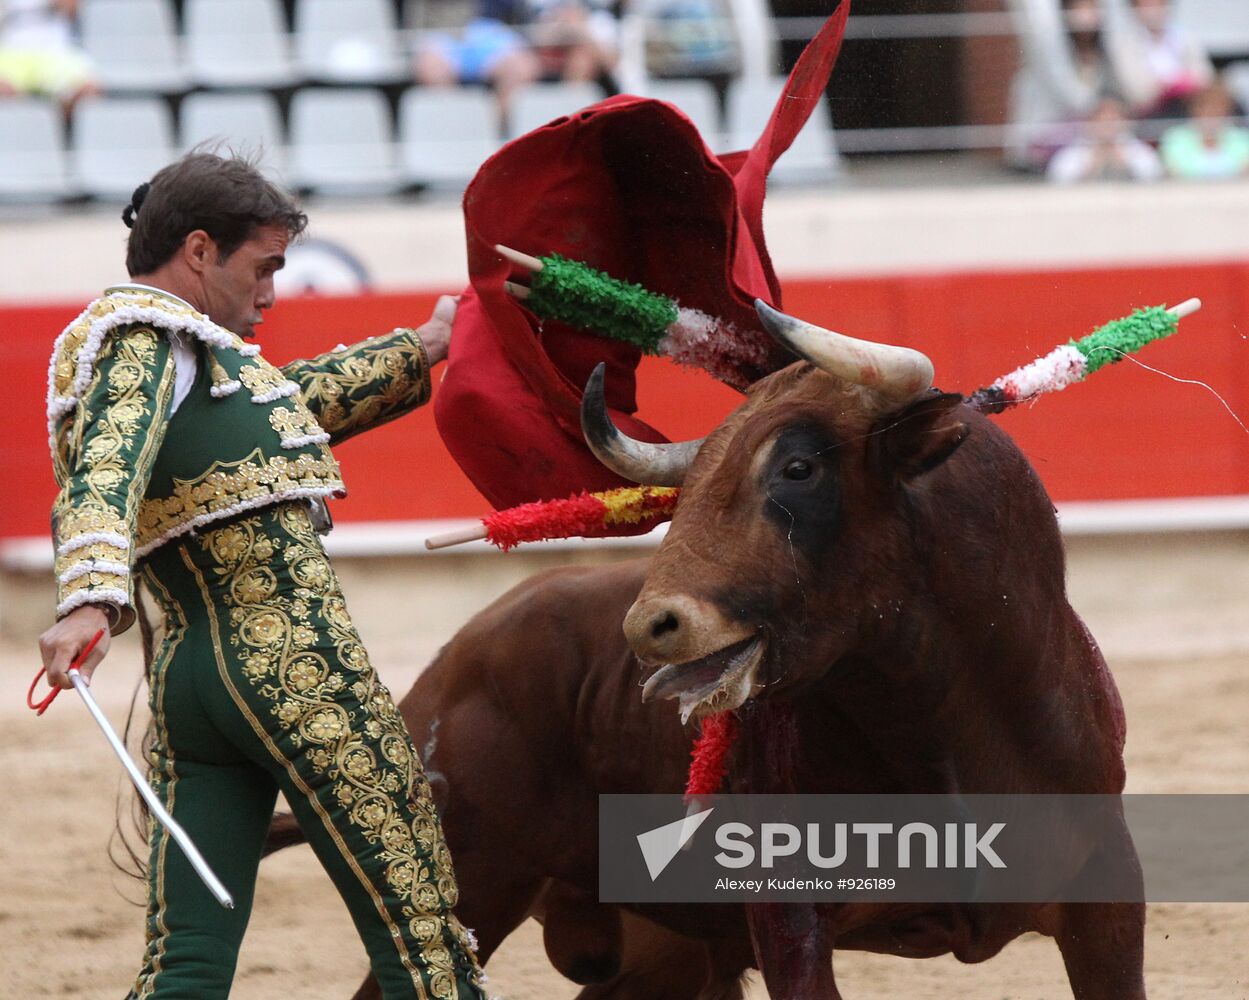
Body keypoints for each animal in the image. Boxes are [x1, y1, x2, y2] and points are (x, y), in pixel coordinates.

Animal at [271, 302, 1144, 998]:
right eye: (685, 493)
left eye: (797, 467)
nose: (649, 628)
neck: (936, 720)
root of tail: (451, 669)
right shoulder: (791, 922)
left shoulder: (1108, 902)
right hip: (474, 882)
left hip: (661, 954)